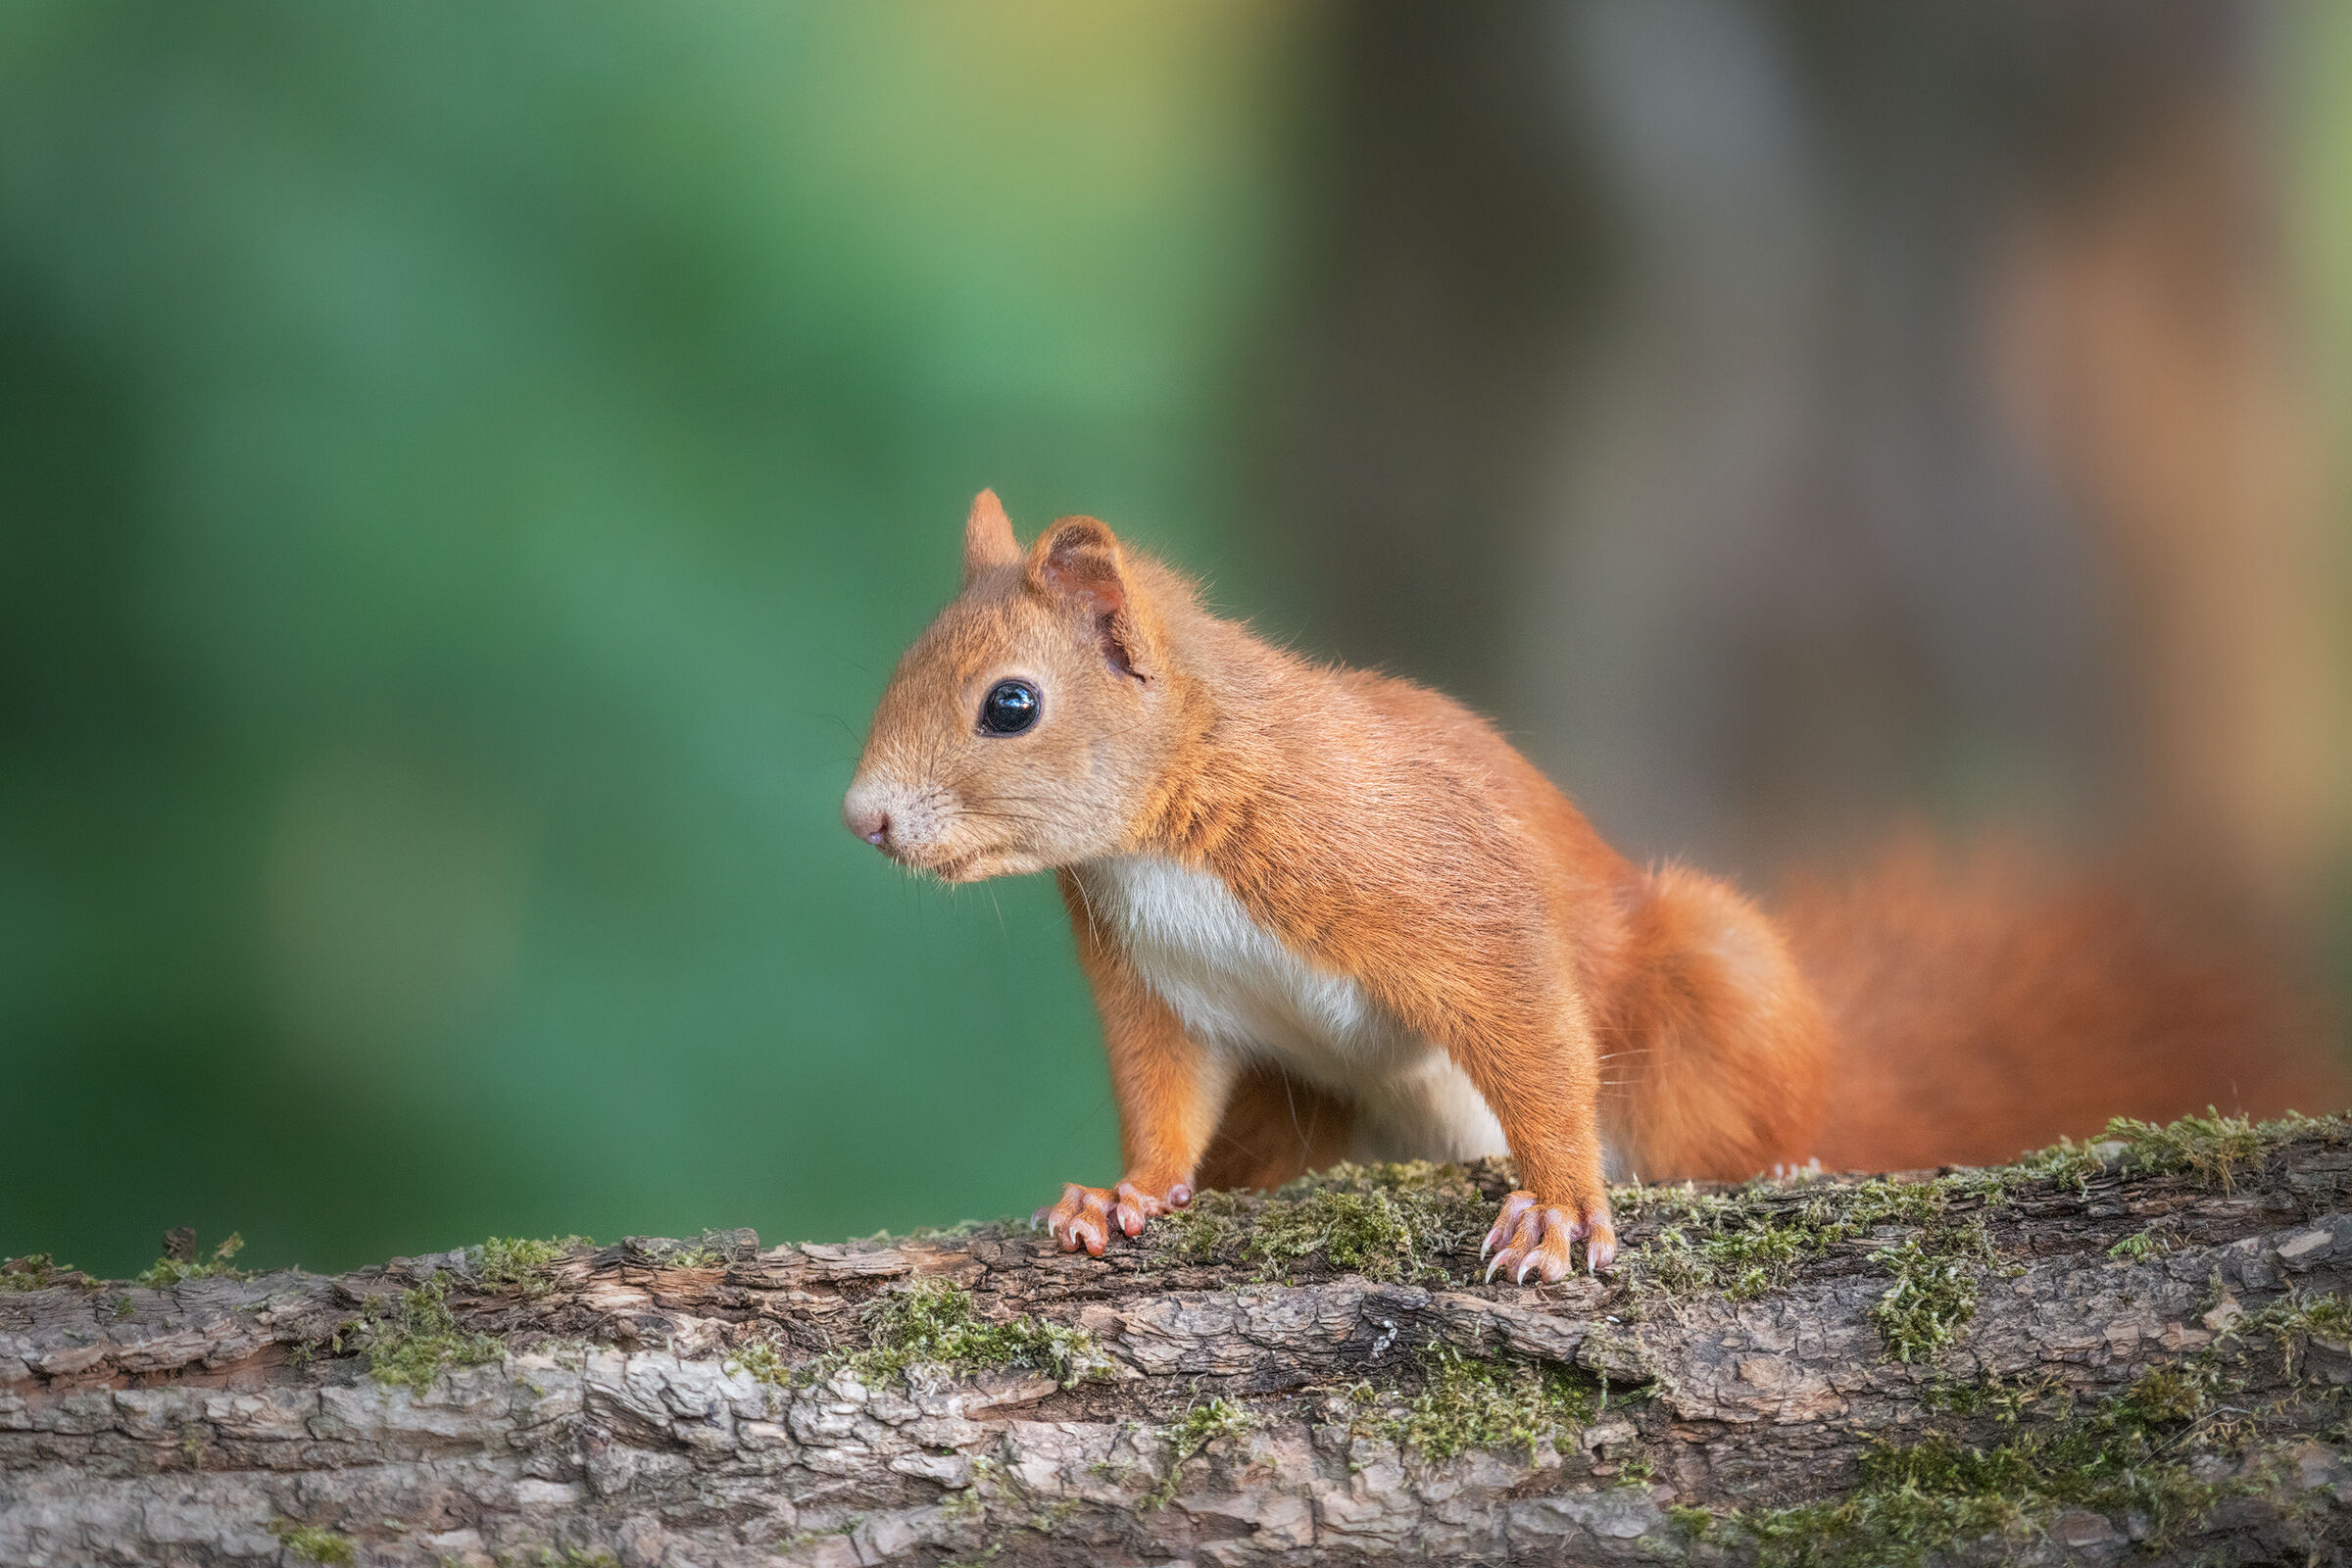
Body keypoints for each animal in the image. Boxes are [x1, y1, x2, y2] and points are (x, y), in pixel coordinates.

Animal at [843, 491, 2342, 1281]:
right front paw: (1126, 1194)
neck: (1163, 838)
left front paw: (1559, 1205)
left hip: (1712, 978)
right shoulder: (1154, 981)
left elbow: (1522, 1015)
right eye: (900, 663)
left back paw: (1783, 1157)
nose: (863, 819)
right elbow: (1165, 1098)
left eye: (1011, 704)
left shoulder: (1419, 877)